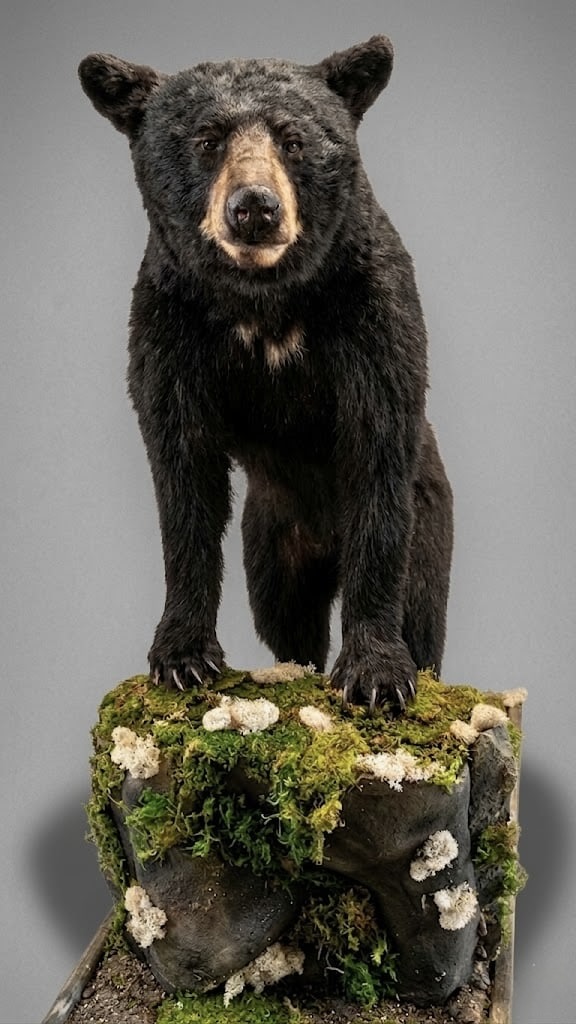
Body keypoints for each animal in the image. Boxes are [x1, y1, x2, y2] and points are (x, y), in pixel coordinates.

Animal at [78, 35, 453, 712]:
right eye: (207, 139)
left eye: (294, 139)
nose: (255, 207)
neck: (265, 300)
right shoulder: (170, 326)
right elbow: (184, 479)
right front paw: (182, 657)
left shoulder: (373, 311)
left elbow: (378, 448)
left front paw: (378, 673)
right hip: (273, 541)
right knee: (286, 617)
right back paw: (293, 666)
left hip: (433, 517)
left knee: (424, 607)